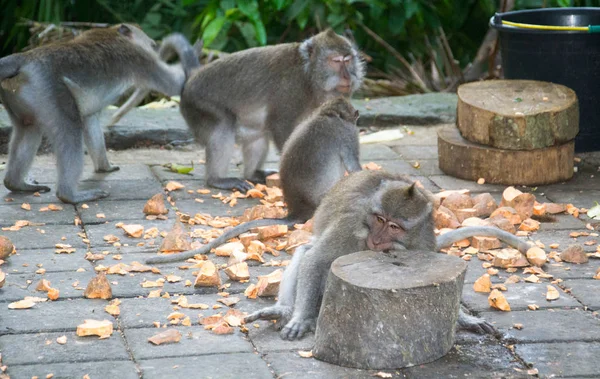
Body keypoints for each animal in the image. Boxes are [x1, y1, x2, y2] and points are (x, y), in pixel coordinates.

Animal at [0, 26, 197, 205]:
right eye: (150, 45)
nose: (154, 47)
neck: (115, 32)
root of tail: (25, 58)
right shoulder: (136, 57)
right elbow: (174, 85)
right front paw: (189, 51)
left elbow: (89, 120)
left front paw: (105, 167)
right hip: (49, 90)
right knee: (70, 127)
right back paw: (68, 195)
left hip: (18, 95)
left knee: (29, 128)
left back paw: (15, 184)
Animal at [244, 171, 536, 342]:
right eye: (380, 219)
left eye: (394, 226)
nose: (376, 239)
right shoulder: (350, 222)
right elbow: (315, 260)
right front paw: (301, 318)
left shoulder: (422, 239)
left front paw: (465, 319)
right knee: (307, 252)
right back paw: (285, 310)